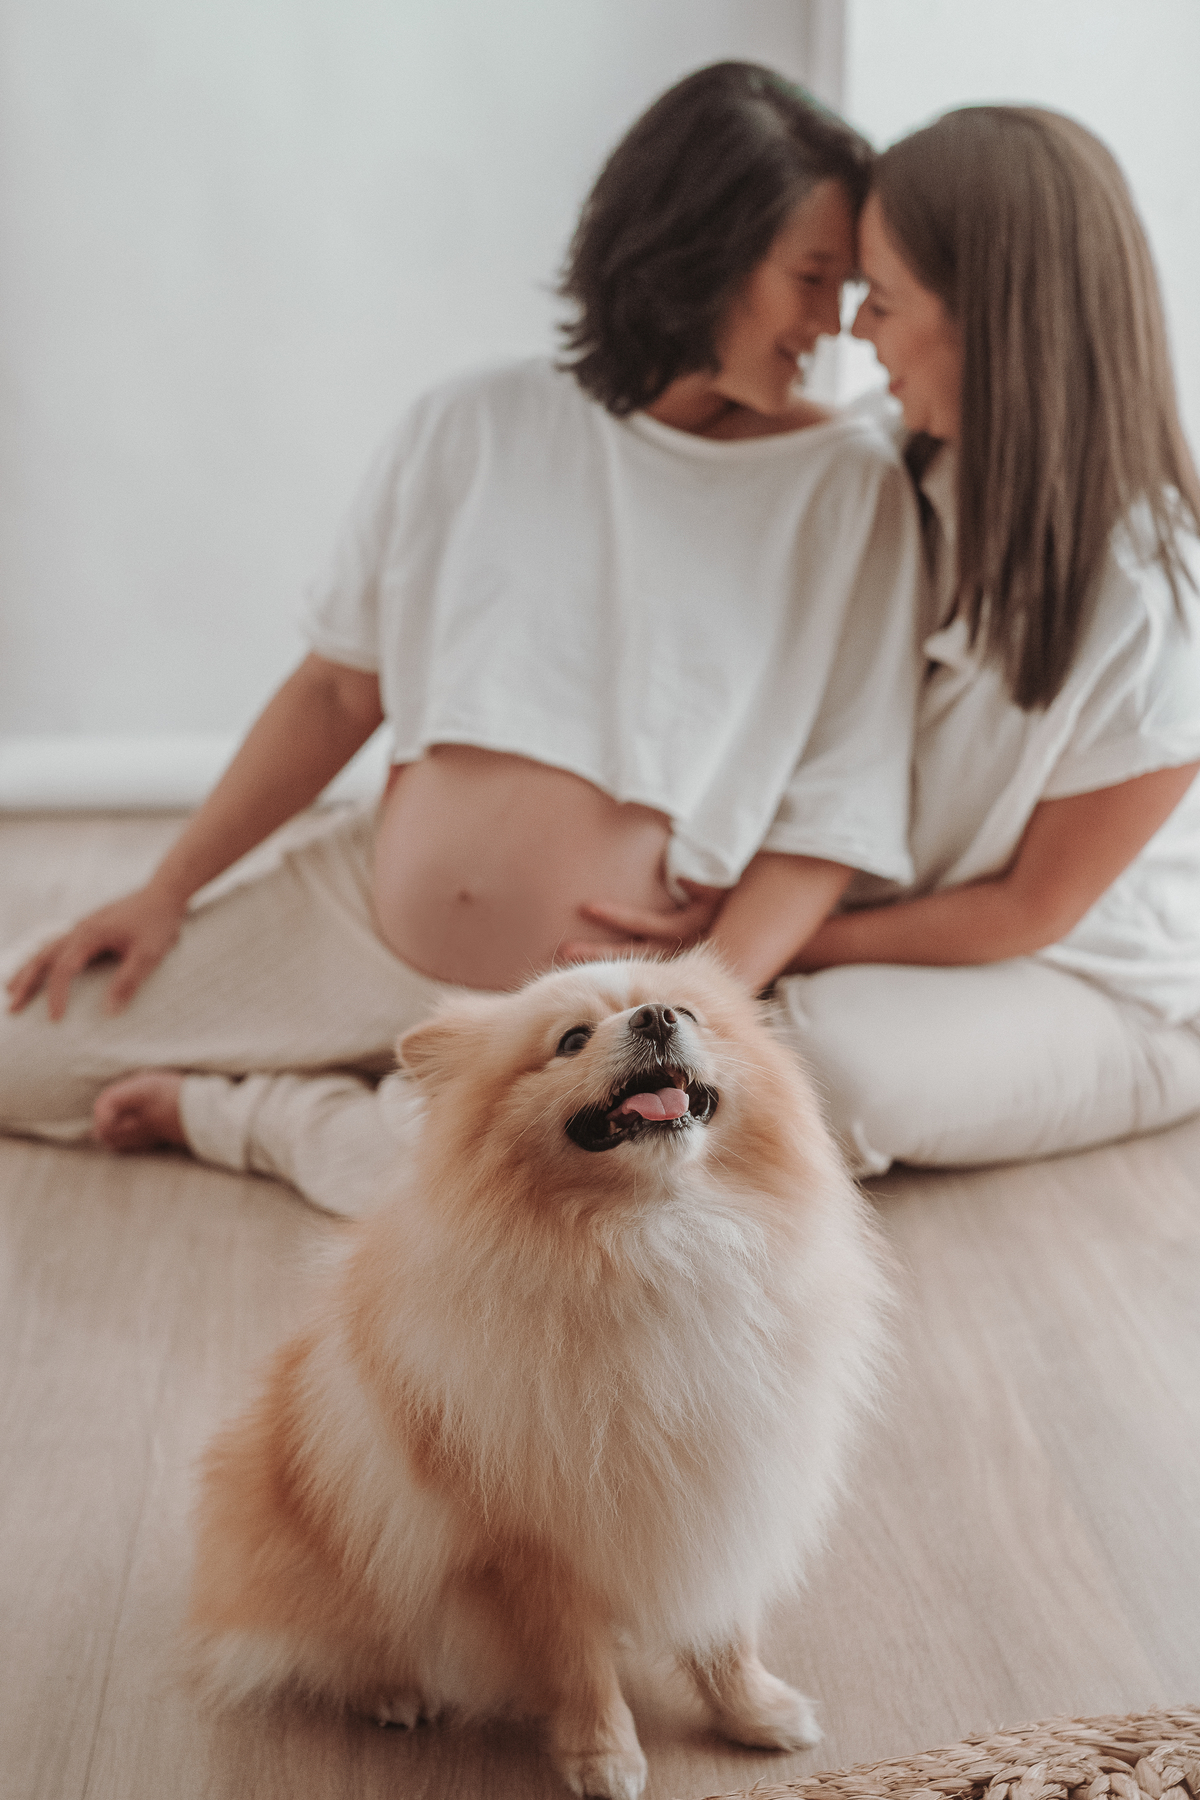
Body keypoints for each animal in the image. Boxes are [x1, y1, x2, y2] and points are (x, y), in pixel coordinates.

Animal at [186, 950, 889, 1799]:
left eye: (688, 1013)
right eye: (572, 1040)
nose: (655, 1017)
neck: (658, 1238)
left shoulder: (722, 1492)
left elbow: (723, 1627)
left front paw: (754, 1712)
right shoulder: (531, 1547)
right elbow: (578, 1666)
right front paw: (603, 1758)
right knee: (345, 1640)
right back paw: (393, 1690)